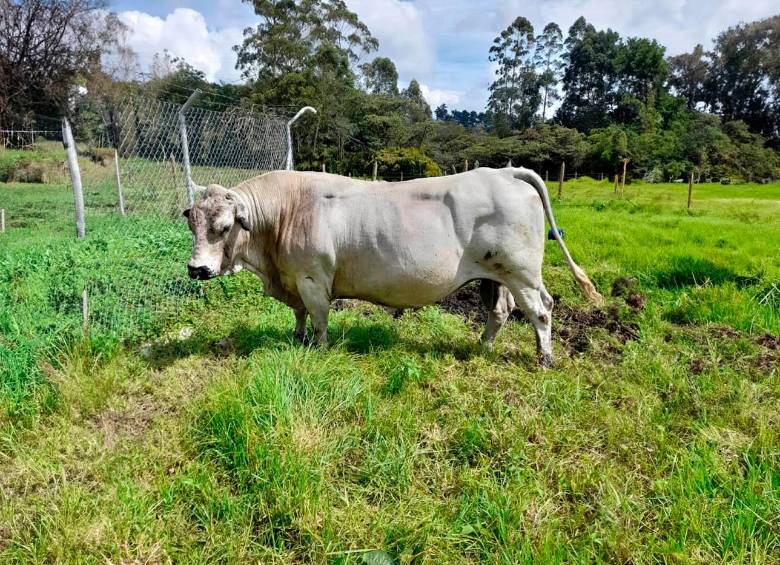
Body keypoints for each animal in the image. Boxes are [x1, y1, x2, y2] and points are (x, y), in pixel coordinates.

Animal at [184, 166, 604, 366]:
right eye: (192, 222)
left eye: (224, 227)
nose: (197, 270)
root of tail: (504, 171)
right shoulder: (294, 279)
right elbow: (300, 316)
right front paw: (296, 338)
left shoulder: (312, 278)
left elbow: (318, 319)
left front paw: (318, 349)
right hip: (495, 275)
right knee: (500, 311)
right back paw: (482, 347)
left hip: (523, 273)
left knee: (542, 311)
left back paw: (544, 358)